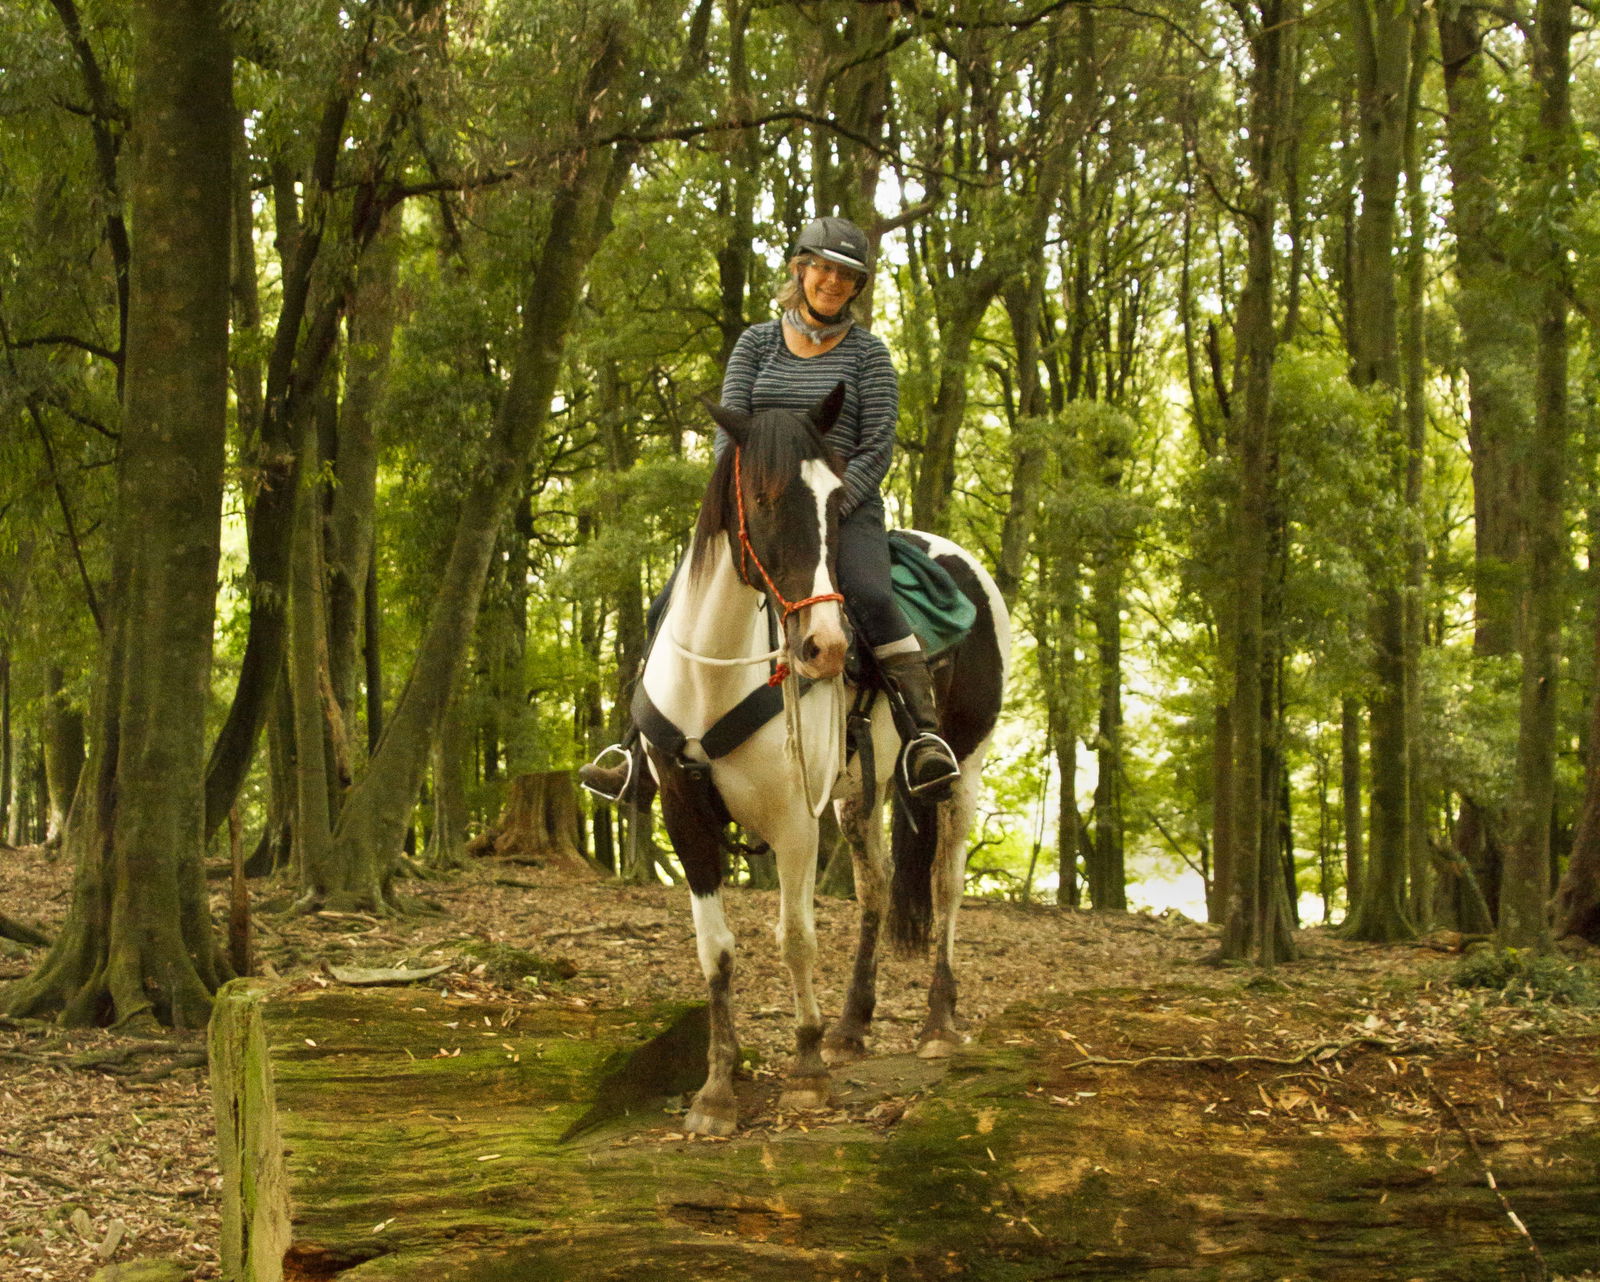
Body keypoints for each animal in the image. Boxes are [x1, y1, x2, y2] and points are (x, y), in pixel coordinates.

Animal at [636, 386, 1010, 1136]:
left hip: (965, 771)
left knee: (946, 888)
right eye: (763, 496)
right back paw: (850, 1027)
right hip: (856, 795)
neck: (716, 677)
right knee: (877, 889)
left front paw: (805, 1071)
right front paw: (717, 1091)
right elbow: (715, 948)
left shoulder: (794, 821)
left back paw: (936, 1022)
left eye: (838, 503)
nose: (827, 647)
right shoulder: (686, 817)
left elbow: (796, 938)